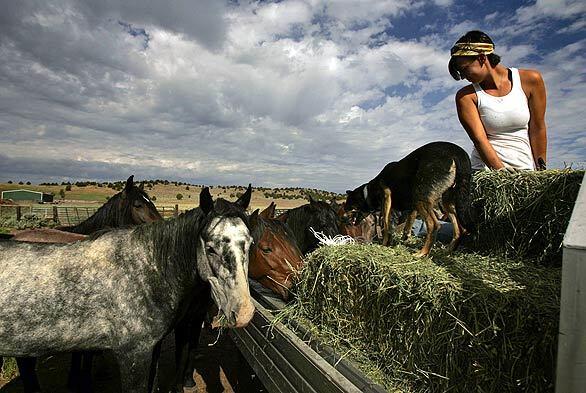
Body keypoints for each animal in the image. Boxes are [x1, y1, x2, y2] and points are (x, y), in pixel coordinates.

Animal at [344, 142, 472, 256]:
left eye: (349, 203)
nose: (343, 216)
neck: (368, 192)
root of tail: (457, 152)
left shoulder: (386, 196)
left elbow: (386, 225)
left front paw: (384, 244)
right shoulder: (410, 207)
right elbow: (407, 223)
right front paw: (403, 238)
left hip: (421, 195)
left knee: (434, 225)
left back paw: (422, 253)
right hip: (445, 202)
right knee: (460, 230)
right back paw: (447, 251)